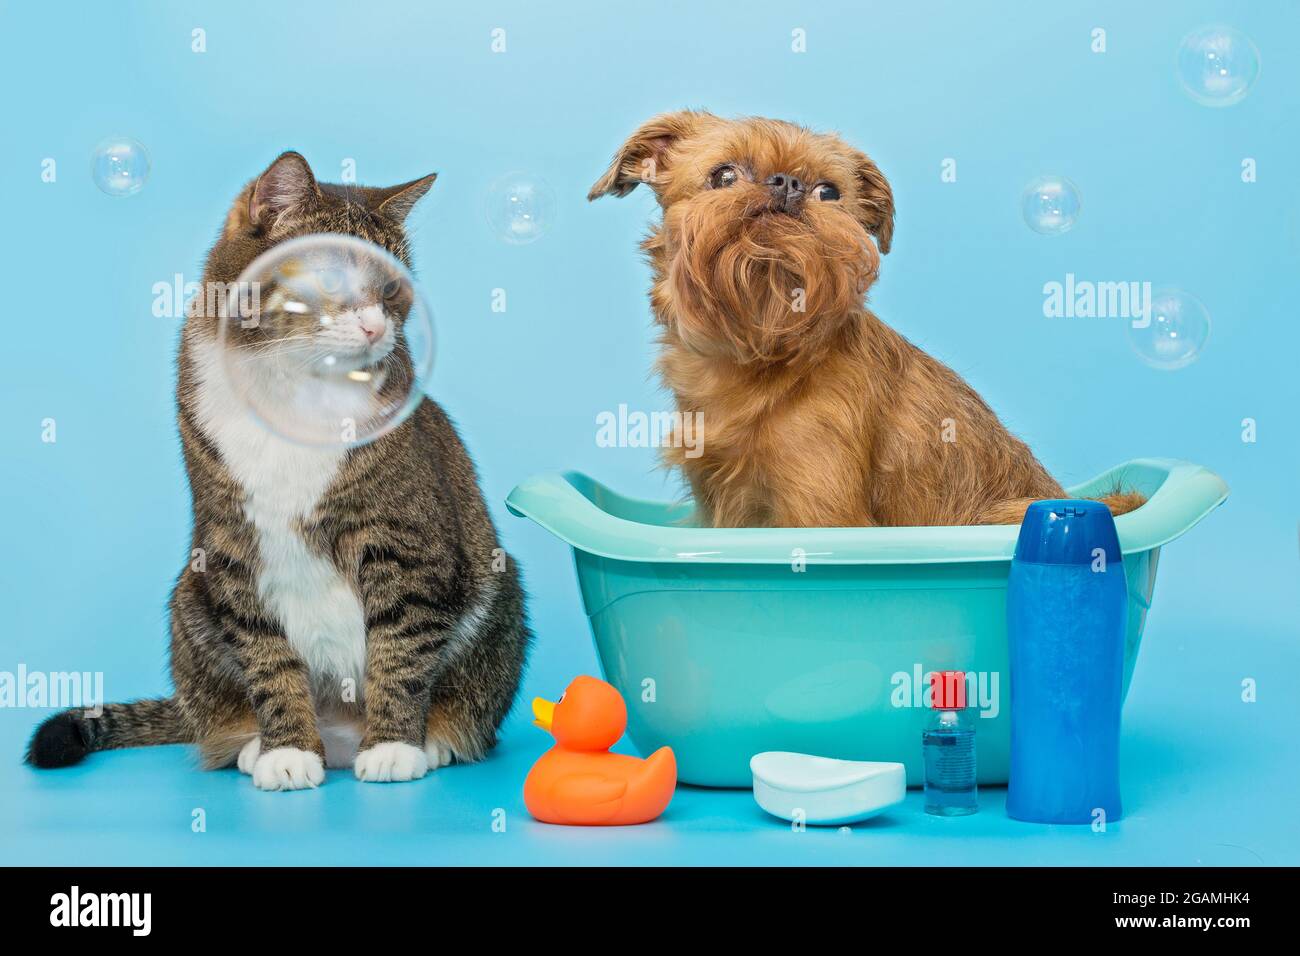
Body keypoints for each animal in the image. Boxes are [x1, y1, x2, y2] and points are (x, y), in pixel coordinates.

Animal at [27, 151, 530, 790]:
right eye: (333, 279)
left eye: (393, 287)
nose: (377, 327)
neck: (293, 387)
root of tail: (340, 734)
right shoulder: (233, 543)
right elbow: (266, 656)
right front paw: (286, 750)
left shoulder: (405, 541)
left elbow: (402, 645)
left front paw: (394, 745)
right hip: (190, 597)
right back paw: (254, 744)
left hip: (498, 589)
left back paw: (434, 740)